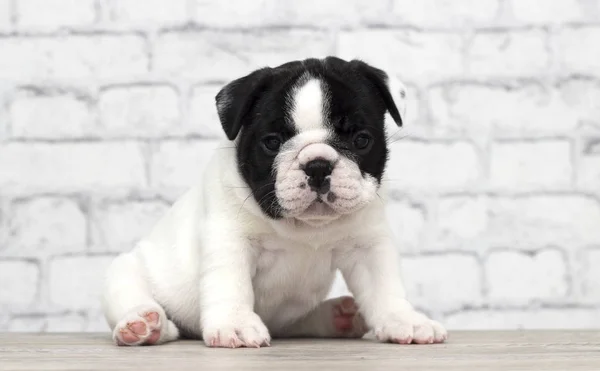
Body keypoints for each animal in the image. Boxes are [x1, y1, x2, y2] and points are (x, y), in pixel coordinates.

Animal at [102, 56, 446, 348]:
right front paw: (235, 324)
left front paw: (404, 320)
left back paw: (339, 316)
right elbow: (230, 282)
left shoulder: (368, 246)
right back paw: (144, 325)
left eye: (361, 140)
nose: (317, 165)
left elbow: (385, 287)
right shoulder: (230, 240)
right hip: (126, 273)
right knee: (135, 299)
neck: (307, 227)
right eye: (272, 142)